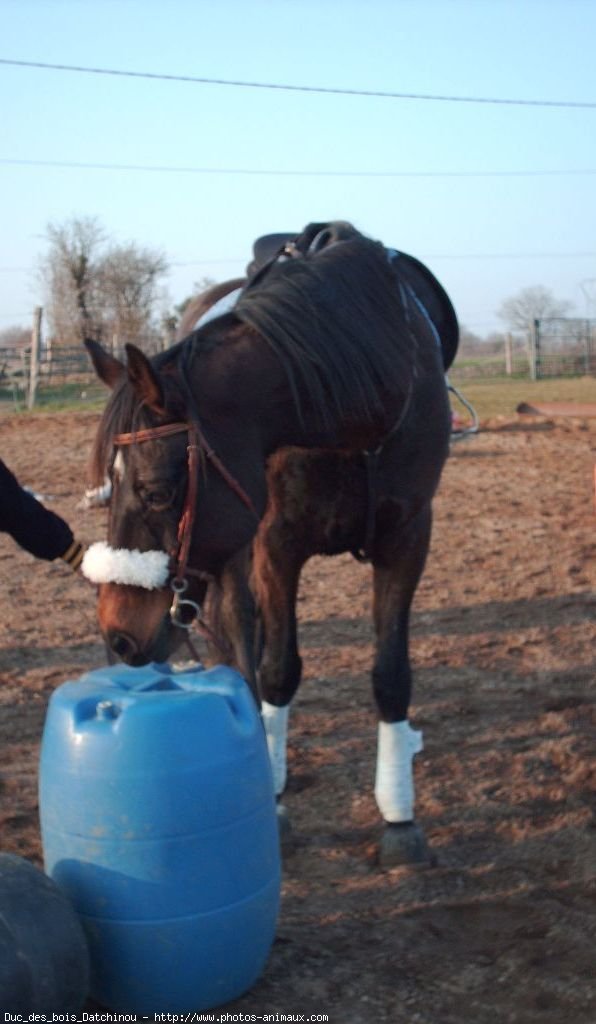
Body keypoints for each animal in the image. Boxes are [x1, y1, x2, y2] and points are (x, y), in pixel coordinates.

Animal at [82, 222, 458, 864]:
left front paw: (399, 818)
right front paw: (272, 798)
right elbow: (278, 669)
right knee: (241, 637)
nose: (118, 634)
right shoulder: (274, 548)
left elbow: (390, 674)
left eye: (155, 491)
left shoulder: (408, 539)